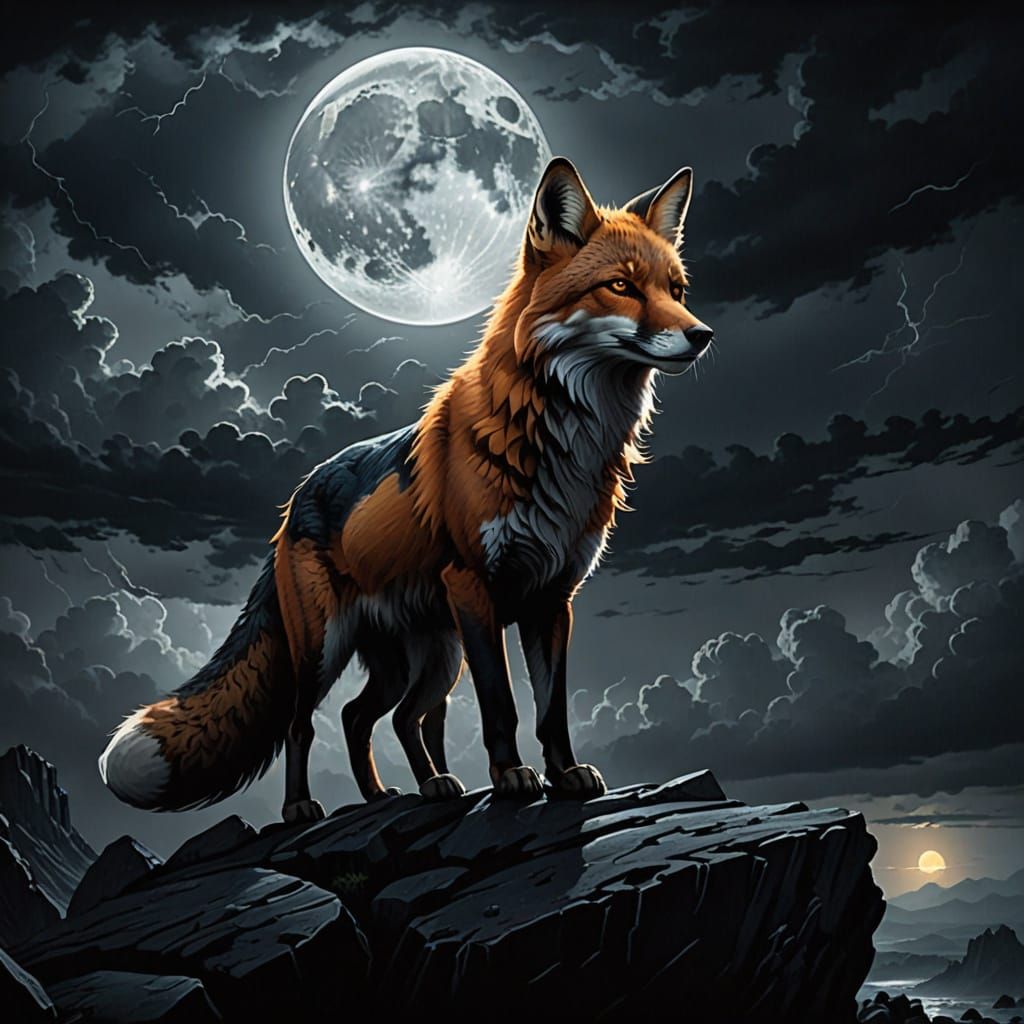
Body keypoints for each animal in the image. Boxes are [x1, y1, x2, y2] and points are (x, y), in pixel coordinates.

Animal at [99, 157, 714, 823]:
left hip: (430, 659)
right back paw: (304, 807)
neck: (560, 444)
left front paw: (564, 775)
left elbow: (551, 711)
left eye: (677, 291)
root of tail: (294, 502)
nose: (702, 334)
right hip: (328, 650)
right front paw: (512, 778)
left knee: (378, 718)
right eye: (621, 287)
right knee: (305, 724)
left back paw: (407, 791)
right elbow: (502, 707)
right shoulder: (476, 588)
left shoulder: (553, 599)